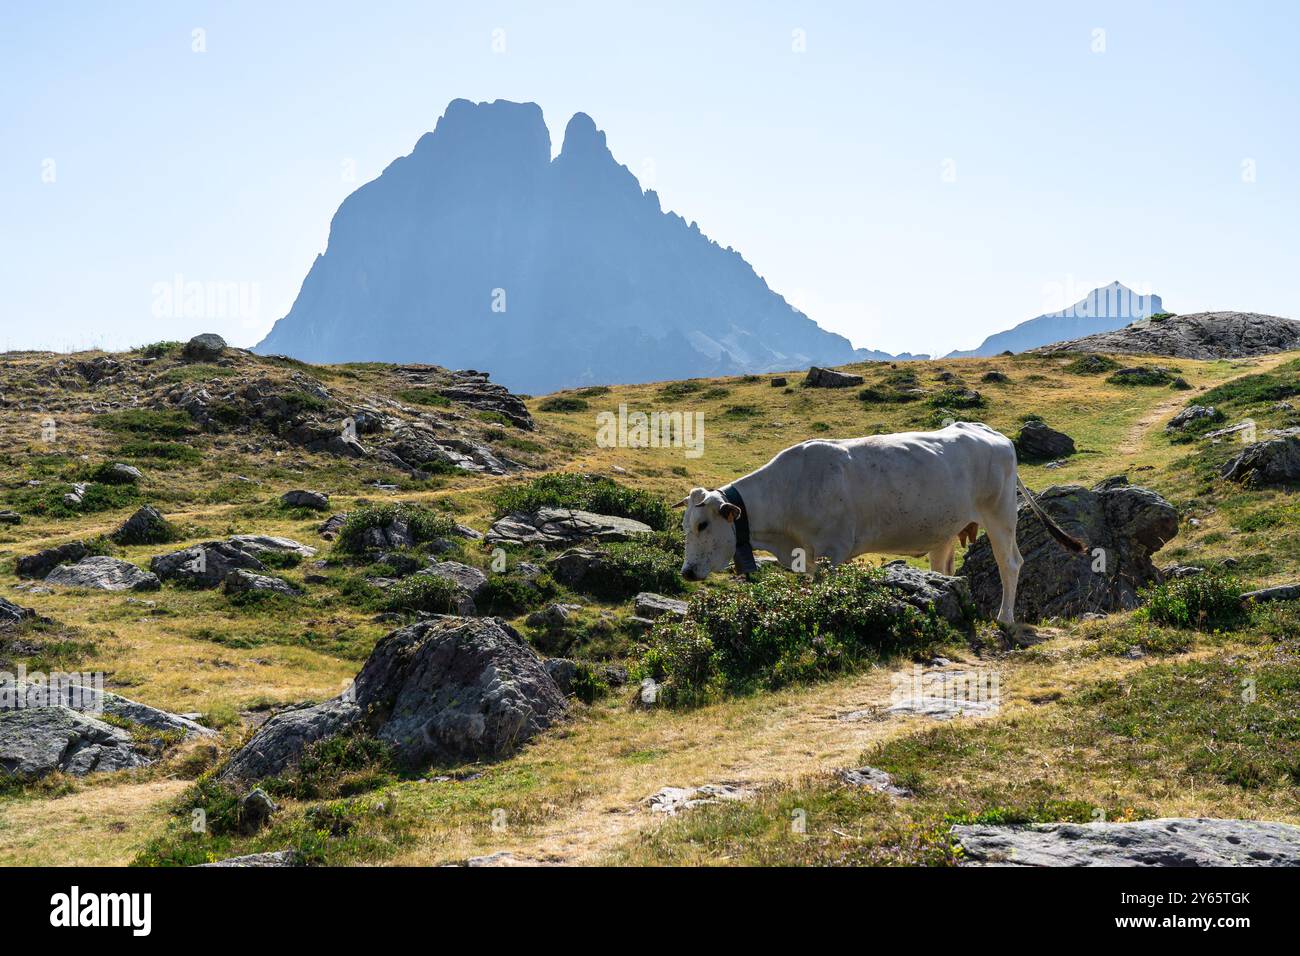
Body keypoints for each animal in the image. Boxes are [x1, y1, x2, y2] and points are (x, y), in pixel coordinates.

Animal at [675, 421, 1084, 626]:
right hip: (948, 529)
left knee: (1010, 563)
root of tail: (992, 433)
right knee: (947, 569)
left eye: (703, 525)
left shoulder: (833, 551)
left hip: (1000, 514)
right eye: (685, 525)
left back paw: (1005, 619)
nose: (687, 572)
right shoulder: (807, 556)